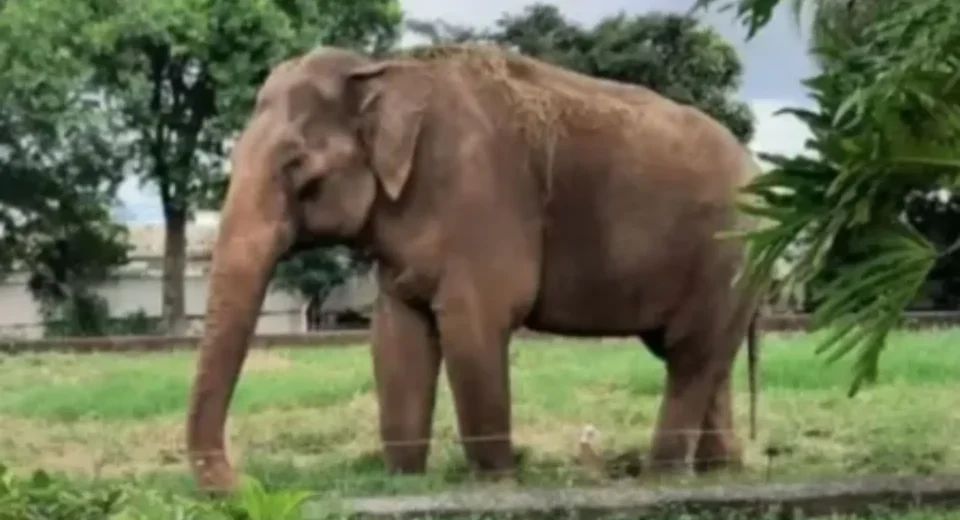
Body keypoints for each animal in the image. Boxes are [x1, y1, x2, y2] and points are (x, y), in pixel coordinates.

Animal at [185, 43, 763, 492]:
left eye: (297, 167)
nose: (248, 483)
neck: (383, 69)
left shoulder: (480, 199)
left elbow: (473, 328)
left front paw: (497, 481)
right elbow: (396, 338)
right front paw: (403, 480)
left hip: (727, 252)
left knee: (690, 354)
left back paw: (661, 477)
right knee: (700, 355)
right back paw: (719, 471)